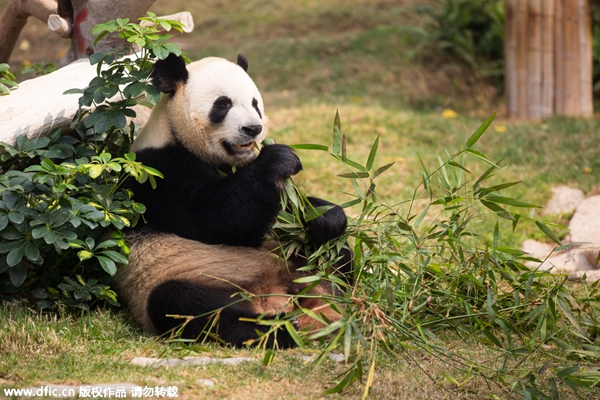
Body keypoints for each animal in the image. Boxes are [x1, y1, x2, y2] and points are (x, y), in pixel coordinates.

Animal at [113, 53, 352, 346]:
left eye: (255, 103)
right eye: (223, 104)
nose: (253, 129)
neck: (174, 133)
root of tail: (272, 295)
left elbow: (277, 215)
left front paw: (324, 217)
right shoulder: (157, 174)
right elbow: (218, 220)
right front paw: (279, 159)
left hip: (299, 263)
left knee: (336, 256)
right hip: (179, 277)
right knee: (188, 306)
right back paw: (277, 327)